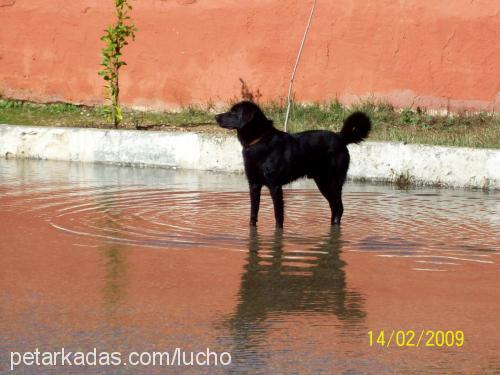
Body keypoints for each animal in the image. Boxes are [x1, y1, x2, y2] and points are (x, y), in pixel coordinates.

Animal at [215, 100, 372, 229]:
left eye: (234, 112)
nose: (215, 117)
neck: (258, 140)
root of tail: (340, 138)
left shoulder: (275, 186)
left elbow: (278, 215)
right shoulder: (253, 185)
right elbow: (253, 214)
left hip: (332, 182)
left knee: (339, 207)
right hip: (323, 183)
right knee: (335, 207)